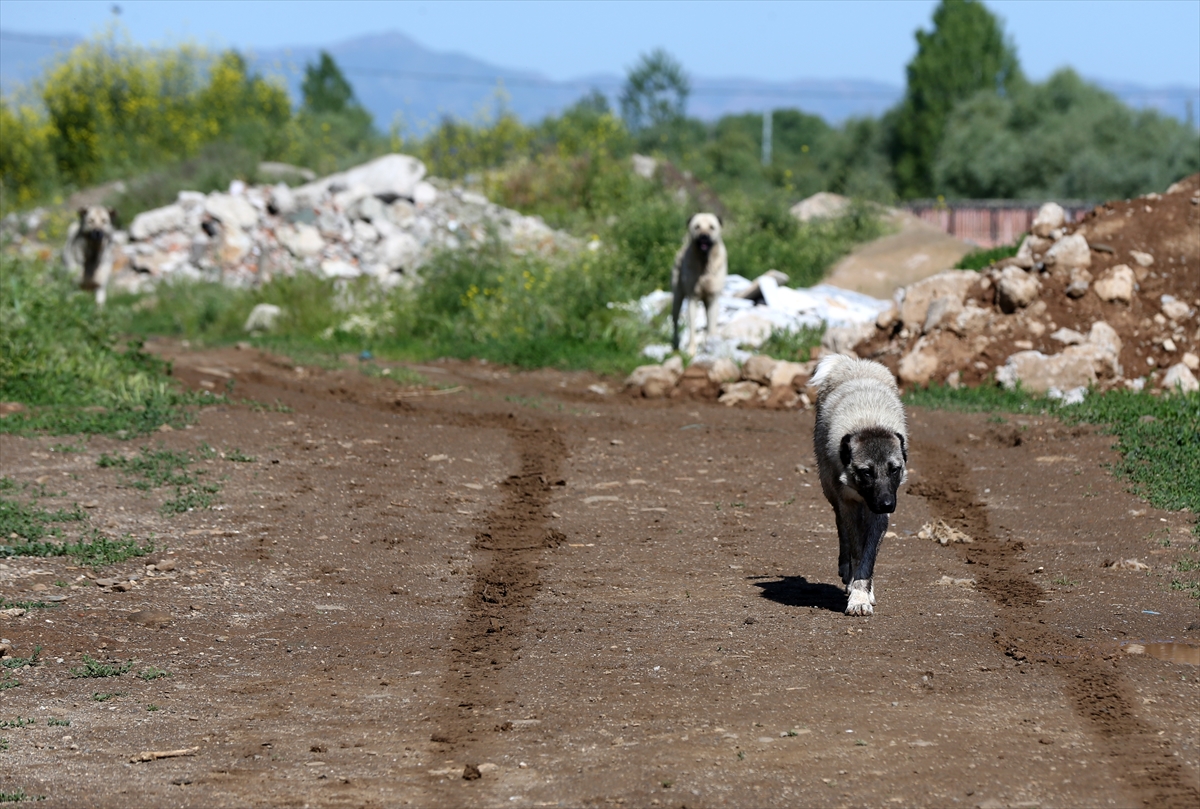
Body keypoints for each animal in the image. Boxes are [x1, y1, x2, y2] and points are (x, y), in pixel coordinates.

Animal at [672, 212, 724, 355]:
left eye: (712, 227)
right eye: (697, 227)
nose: (704, 237)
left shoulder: (712, 299)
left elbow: (711, 327)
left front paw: (711, 347)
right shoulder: (692, 298)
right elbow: (692, 329)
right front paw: (691, 351)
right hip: (677, 296)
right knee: (675, 319)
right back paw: (675, 344)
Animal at [811, 350, 902, 612]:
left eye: (894, 469)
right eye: (866, 472)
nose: (886, 504)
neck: (868, 422)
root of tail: (853, 363)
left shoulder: (879, 514)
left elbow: (868, 556)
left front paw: (863, 595)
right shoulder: (848, 503)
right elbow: (856, 549)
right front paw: (856, 591)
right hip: (831, 493)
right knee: (842, 530)